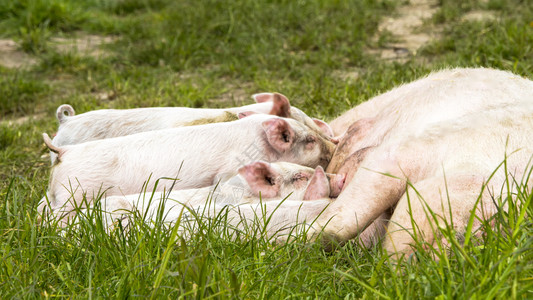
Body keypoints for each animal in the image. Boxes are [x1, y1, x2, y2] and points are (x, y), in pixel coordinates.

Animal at [39, 114, 334, 220]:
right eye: (309, 140)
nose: (334, 146)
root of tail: (63, 153)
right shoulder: (229, 172)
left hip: (56, 194)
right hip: (73, 195)